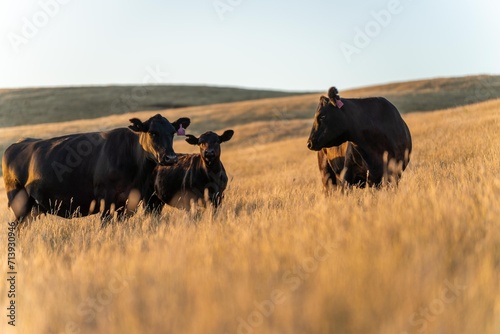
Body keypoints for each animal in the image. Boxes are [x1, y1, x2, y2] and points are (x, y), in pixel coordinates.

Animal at [2, 113, 189, 223]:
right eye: (152, 133)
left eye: (172, 133)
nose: (171, 157)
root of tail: (19, 142)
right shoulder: (106, 199)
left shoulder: (130, 203)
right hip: (19, 203)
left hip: (33, 208)